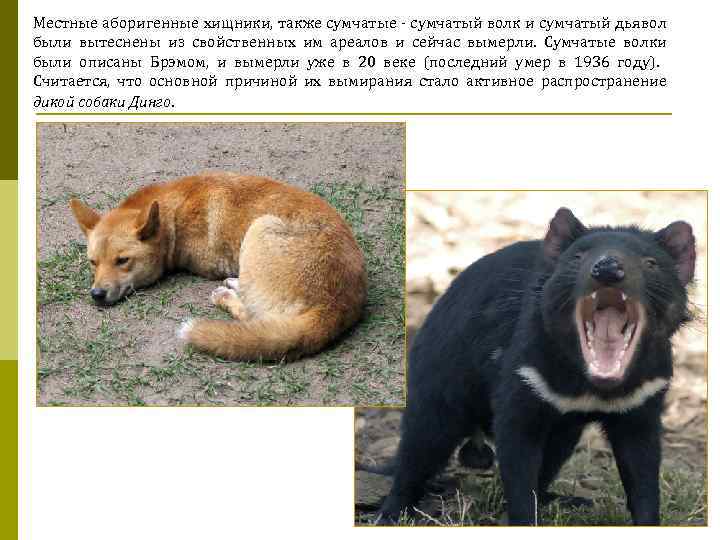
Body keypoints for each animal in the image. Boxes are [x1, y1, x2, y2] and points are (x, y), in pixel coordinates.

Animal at [69, 172, 367, 362]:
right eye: (93, 262)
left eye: (122, 261)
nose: (96, 295)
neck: (173, 214)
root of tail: (338, 304)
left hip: (260, 227)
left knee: (253, 316)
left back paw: (227, 294)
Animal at [378, 207, 695, 525]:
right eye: (577, 257)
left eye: (650, 262)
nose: (607, 268)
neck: (591, 386)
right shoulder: (523, 382)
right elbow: (520, 474)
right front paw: (522, 519)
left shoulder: (642, 401)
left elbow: (643, 476)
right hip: (439, 384)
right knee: (418, 450)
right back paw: (392, 512)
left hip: (564, 432)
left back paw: (564, 500)